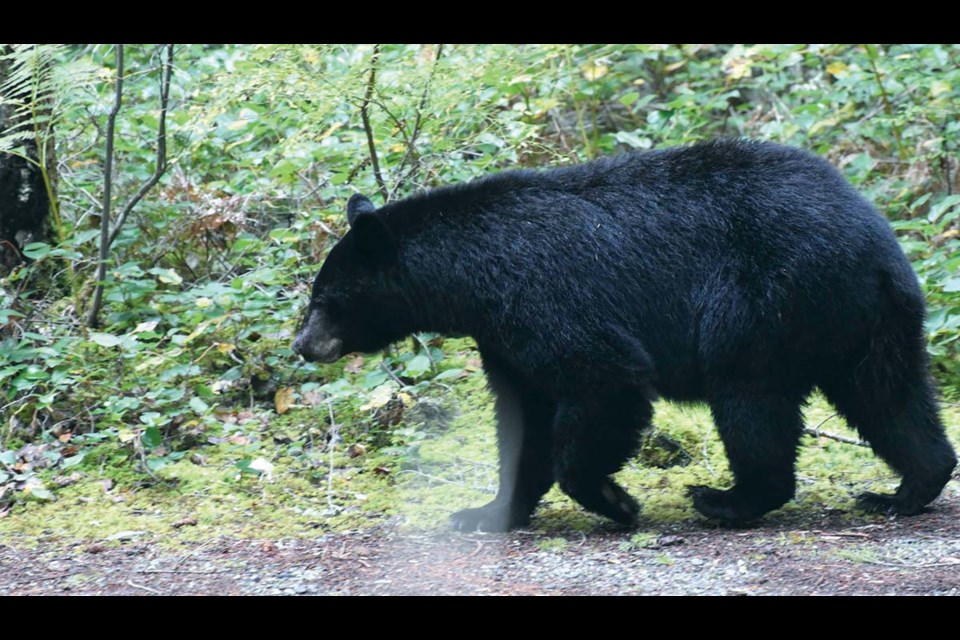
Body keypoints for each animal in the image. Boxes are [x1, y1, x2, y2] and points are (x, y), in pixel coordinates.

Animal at [296, 142, 956, 532]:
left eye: (325, 300)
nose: (302, 345)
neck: (470, 276)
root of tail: (875, 242)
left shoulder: (545, 298)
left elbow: (602, 380)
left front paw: (615, 501)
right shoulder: (503, 337)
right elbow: (523, 414)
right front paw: (488, 510)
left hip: (764, 299)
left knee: (750, 399)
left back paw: (726, 499)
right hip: (868, 318)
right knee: (888, 395)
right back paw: (906, 489)